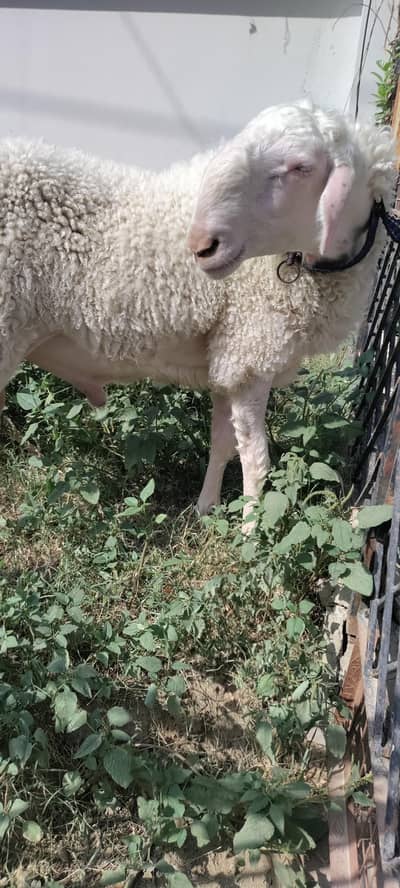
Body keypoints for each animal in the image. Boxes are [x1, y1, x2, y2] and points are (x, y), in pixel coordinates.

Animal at [0, 102, 395, 528]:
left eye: (300, 167)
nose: (201, 245)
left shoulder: (229, 360)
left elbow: (223, 443)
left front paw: (207, 508)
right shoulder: (251, 353)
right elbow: (256, 459)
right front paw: (252, 531)